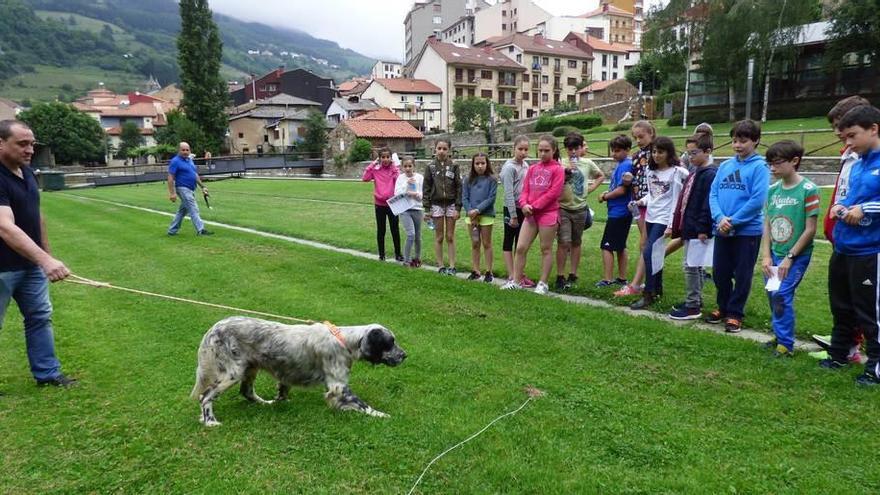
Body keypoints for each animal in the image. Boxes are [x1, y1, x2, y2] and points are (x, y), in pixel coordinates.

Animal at [191, 320, 408, 428]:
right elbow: (363, 405)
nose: (404, 355)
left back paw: (265, 403)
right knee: (205, 396)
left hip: (249, 367)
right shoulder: (339, 387)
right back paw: (210, 421)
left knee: (247, 392)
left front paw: (281, 401)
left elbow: (283, 389)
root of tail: (214, 328)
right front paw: (382, 415)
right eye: (390, 343)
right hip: (232, 373)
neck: (345, 341)